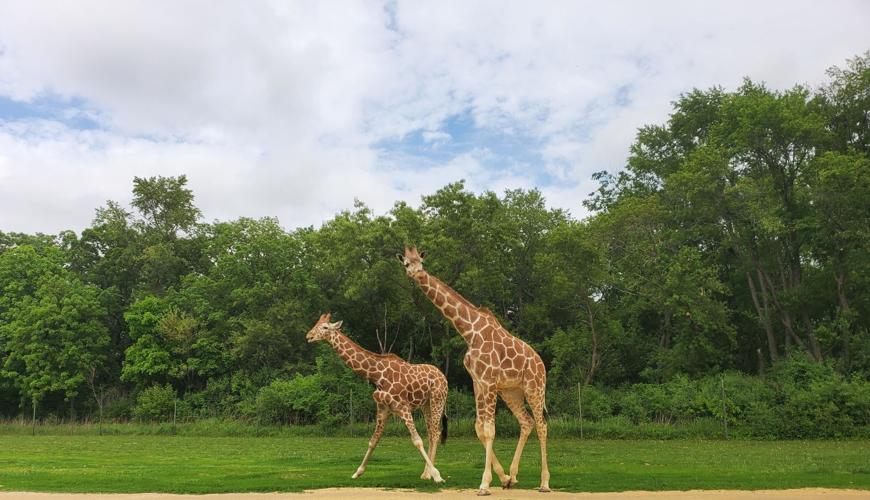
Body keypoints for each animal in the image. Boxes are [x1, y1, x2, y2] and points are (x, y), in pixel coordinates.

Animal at [305, 313, 448, 483]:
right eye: (315, 324)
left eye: (325, 327)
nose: (309, 336)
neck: (376, 375)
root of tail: (443, 377)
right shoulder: (383, 407)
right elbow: (373, 441)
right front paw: (357, 472)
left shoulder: (403, 407)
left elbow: (417, 440)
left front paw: (438, 476)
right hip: (425, 405)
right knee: (431, 433)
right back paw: (426, 474)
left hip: (437, 400)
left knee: (435, 432)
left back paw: (431, 473)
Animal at [398, 247, 551, 496]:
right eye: (406, 264)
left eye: (421, 261)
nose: (418, 273)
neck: (469, 332)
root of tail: (541, 363)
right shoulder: (477, 382)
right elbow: (480, 428)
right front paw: (502, 477)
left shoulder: (488, 381)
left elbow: (489, 429)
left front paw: (484, 484)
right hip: (511, 392)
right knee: (526, 422)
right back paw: (513, 477)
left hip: (534, 387)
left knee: (541, 425)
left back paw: (545, 483)